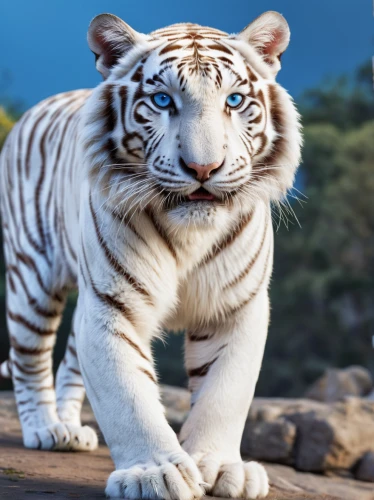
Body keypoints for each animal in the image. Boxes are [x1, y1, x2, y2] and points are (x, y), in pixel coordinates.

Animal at [0, 9, 300, 498]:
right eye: (162, 100)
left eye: (234, 100)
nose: (203, 168)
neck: (190, 236)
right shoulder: (111, 306)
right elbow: (128, 396)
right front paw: (153, 473)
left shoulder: (237, 307)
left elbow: (224, 393)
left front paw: (221, 466)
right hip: (32, 278)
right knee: (30, 359)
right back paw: (47, 428)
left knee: (69, 363)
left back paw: (72, 428)